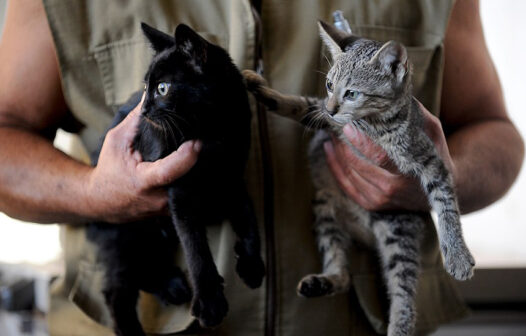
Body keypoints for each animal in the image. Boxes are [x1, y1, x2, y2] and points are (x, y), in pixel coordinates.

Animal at [89, 23, 268, 336]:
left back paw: (174, 287)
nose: (143, 111)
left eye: (163, 88)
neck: (213, 134)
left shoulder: (233, 177)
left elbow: (248, 218)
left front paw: (251, 263)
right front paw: (210, 302)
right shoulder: (180, 194)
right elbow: (196, 249)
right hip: (124, 231)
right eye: (146, 88)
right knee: (118, 289)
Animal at [245, 21, 476, 336]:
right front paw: (263, 90)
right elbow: (301, 105)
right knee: (343, 275)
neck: (370, 125)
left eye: (352, 94)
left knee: (403, 289)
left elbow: (447, 205)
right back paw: (323, 281)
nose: (332, 108)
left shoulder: (431, 160)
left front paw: (458, 255)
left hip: (397, 227)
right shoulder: (326, 117)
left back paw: (399, 325)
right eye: (329, 86)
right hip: (325, 207)